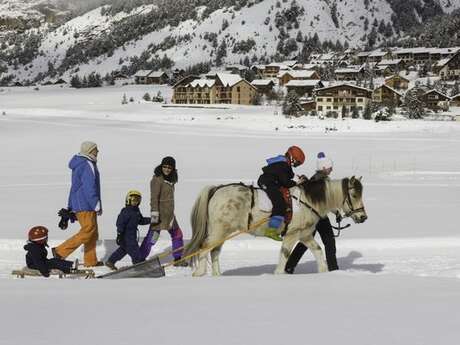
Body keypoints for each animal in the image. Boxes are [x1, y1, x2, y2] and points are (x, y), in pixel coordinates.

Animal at [185, 176, 368, 276]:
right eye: (354, 194)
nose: (363, 217)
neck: (307, 201)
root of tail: (216, 190)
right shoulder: (292, 234)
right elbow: (285, 254)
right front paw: (279, 274)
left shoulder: (305, 235)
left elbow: (317, 251)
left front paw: (323, 272)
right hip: (219, 230)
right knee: (205, 248)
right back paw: (199, 272)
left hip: (222, 232)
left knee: (214, 251)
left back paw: (216, 274)